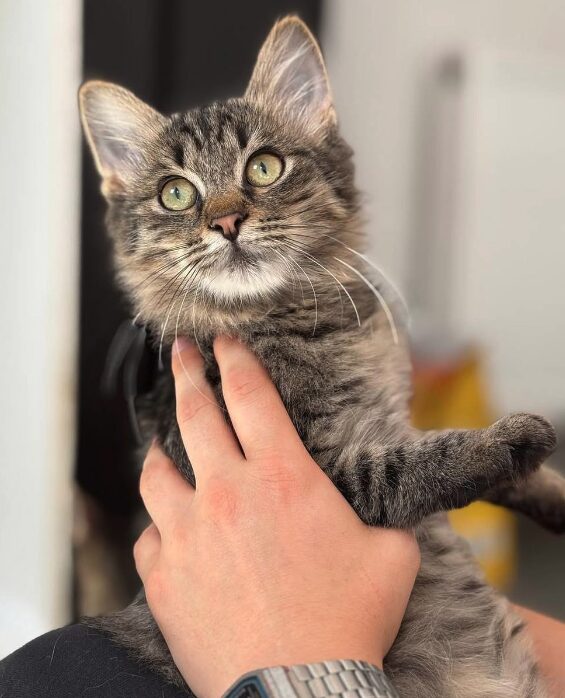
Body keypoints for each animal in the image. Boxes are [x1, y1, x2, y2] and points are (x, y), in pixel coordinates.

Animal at [80, 16, 564, 696]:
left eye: (264, 168)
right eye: (176, 194)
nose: (227, 221)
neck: (302, 319)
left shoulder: (391, 418)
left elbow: (483, 465)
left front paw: (556, 494)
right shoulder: (328, 473)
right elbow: (424, 464)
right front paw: (514, 439)